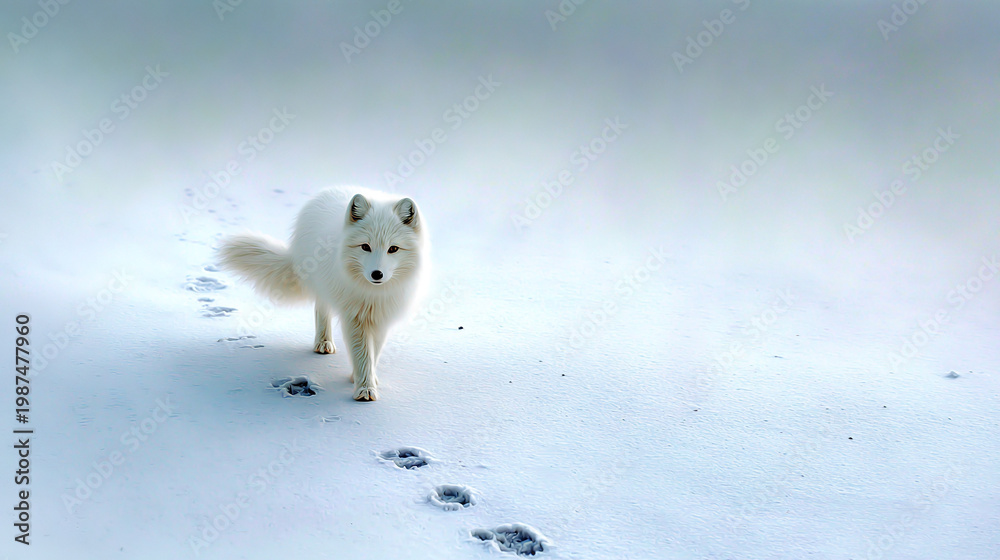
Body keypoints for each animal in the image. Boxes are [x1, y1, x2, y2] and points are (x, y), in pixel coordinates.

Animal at [217, 187, 428, 401]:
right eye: (365, 247)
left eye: (393, 249)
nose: (377, 274)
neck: (372, 294)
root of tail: (332, 188)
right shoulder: (354, 316)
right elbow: (362, 354)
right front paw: (364, 388)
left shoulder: (381, 316)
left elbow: (373, 353)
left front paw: (365, 379)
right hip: (323, 286)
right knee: (321, 310)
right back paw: (323, 342)